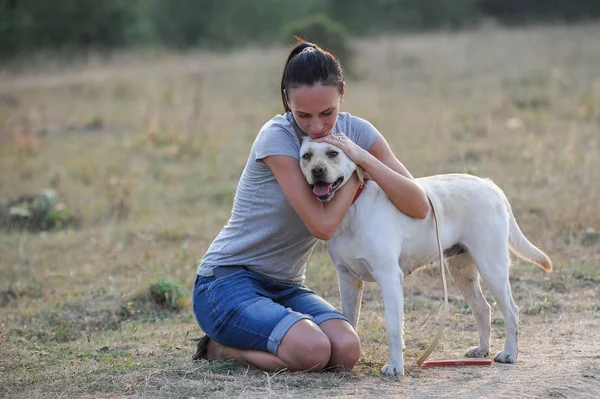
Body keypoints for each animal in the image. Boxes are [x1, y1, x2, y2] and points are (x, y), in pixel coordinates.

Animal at [300, 138, 552, 378]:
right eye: (307, 156)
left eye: (333, 153)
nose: (317, 170)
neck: (351, 209)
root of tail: (491, 185)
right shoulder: (347, 279)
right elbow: (350, 322)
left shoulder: (389, 278)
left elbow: (393, 328)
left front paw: (395, 366)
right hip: (462, 272)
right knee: (483, 308)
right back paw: (482, 349)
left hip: (492, 268)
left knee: (511, 311)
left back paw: (509, 353)